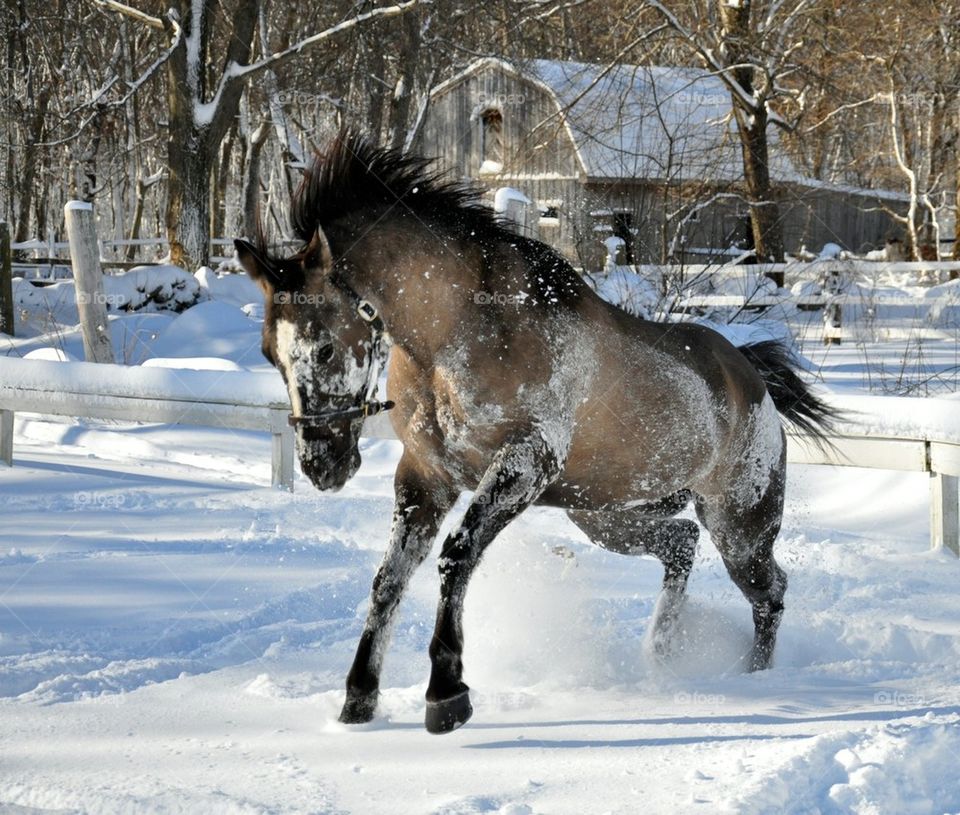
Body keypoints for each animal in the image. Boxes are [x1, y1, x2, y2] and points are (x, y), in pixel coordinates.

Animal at [235, 132, 837, 735]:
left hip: (739, 527)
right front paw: (358, 699)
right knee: (682, 546)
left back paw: (754, 679)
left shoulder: (525, 462)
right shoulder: (426, 476)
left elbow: (456, 557)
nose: (322, 464)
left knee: (769, 591)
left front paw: (446, 695)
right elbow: (389, 578)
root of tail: (752, 378)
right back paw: (658, 654)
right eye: (268, 353)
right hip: (603, 515)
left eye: (324, 347)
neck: (454, 335)